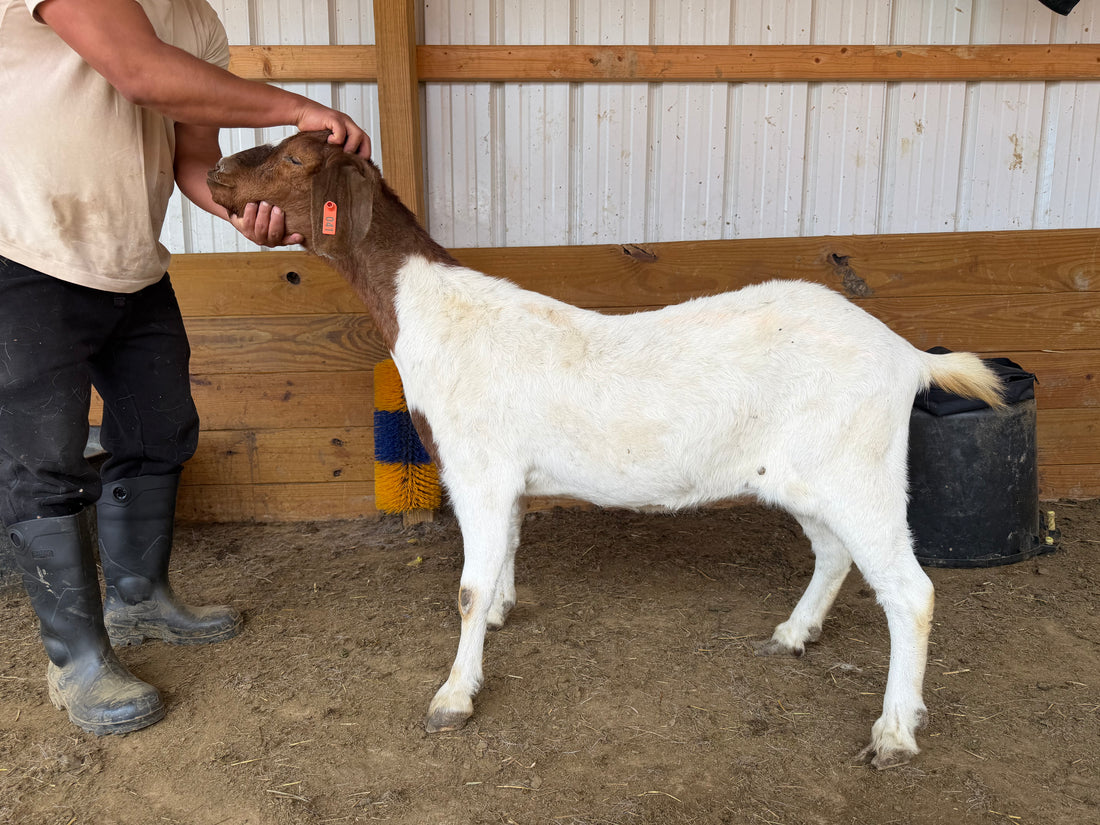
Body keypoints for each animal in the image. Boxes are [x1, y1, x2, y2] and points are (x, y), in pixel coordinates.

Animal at [208, 131, 1004, 769]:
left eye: (293, 157)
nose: (215, 172)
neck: (432, 313)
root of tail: (904, 355)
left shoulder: (478, 468)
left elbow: (465, 588)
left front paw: (454, 695)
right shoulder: (506, 479)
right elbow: (505, 553)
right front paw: (500, 612)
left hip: (857, 470)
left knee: (911, 591)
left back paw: (895, 732)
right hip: (802, 475)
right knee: (834, 553)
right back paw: (792, 634)